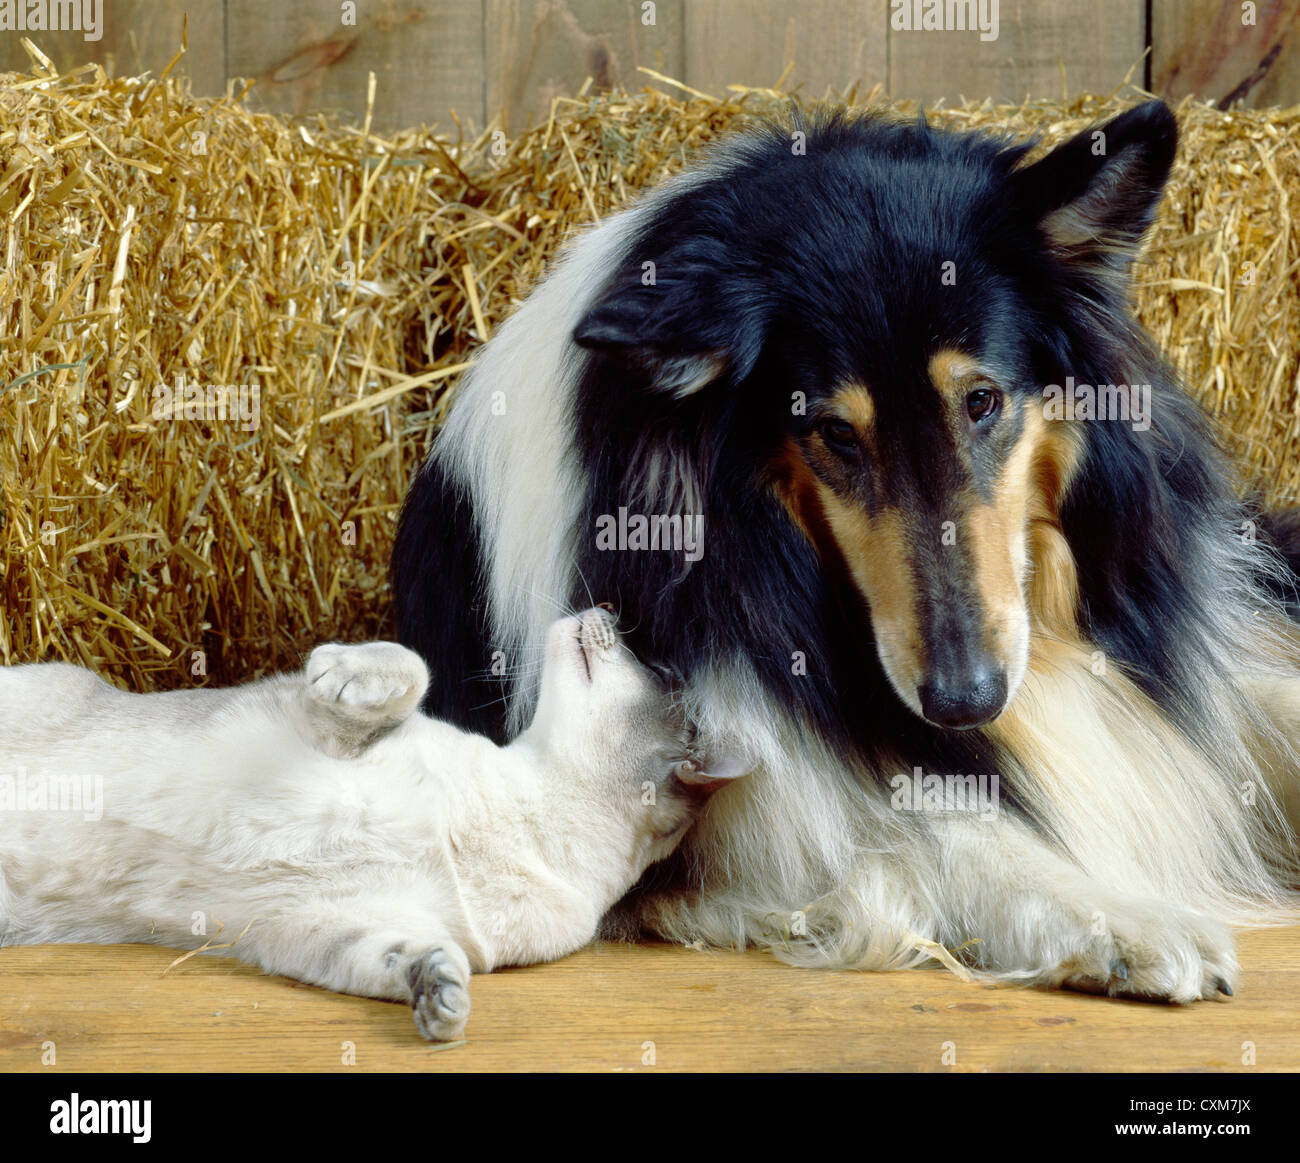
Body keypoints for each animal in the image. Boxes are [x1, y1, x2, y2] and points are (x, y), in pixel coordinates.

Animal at [0, 608, 743, 1039]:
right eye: (661, 666)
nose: (607, 607)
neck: (522, 815)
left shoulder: (324, 921)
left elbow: (413, 958)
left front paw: (442, 1003)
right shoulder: (326, 726)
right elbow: (409, 667)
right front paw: (338, 671)